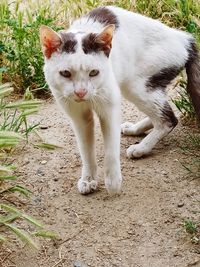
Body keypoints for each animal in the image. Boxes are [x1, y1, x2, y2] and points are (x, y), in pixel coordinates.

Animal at [39, 5, 200, 195]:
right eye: (65, 73)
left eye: (94, 72)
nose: (80, 92)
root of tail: (185, 38)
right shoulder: (78, 115)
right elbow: (86, 149)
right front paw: (88, 179)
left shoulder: (110, 108)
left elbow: (111, 147)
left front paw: (113, 181)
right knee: (165, 112)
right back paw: (134, 129)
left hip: (136, 85)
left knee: (168, 119)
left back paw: (141, 148)